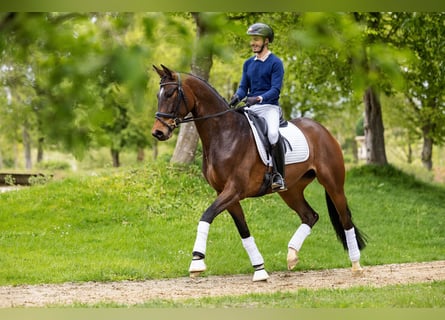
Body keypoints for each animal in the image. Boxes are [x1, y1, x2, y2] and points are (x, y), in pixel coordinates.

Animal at [151, 64, 366, 280]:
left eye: (170, 94)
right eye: (158, 95)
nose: (158, 132)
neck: (225, 134)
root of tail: (322, 130)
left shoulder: (234, 190)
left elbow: (206, 215)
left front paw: (197, 261)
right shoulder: (226, 193)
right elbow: (243, 230)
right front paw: (260, 270)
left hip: (333, 184)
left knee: (345, 220)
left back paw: (356, 265)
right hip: (291, 190)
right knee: (310, 216)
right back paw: (292, 256)